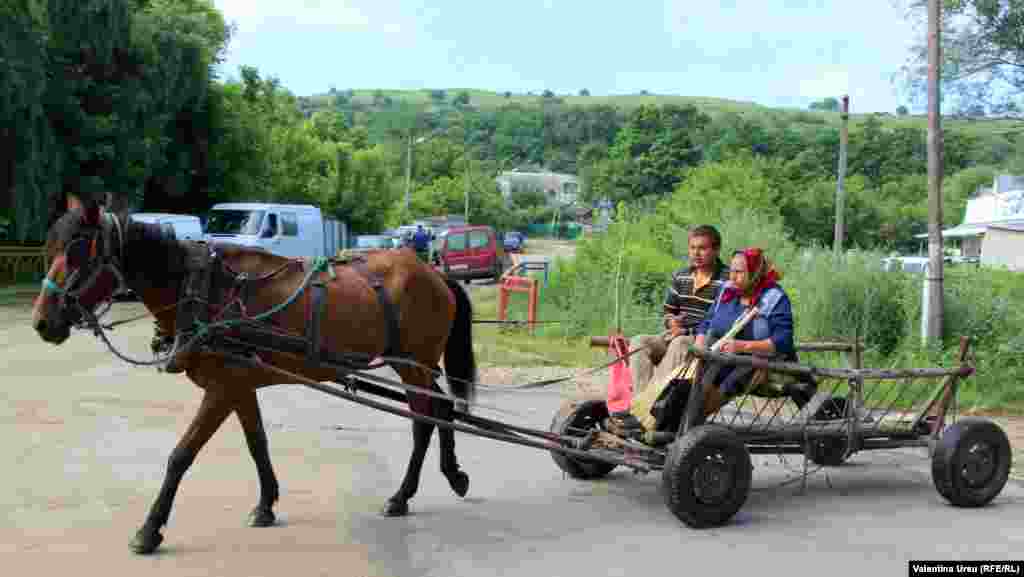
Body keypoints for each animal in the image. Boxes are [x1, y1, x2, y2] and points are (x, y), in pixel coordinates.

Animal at [32, 196, 477, 553]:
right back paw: (447, 476)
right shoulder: (240, 385)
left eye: (78, 253)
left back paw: (405, 494)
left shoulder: (222, 388)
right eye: (51, 248)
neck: (203, 289)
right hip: (415, 364)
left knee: (425, 417)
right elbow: (256, 442)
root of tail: (435, 273)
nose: (42, 323)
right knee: (438, 408)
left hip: (412, 362)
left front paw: (149, 529)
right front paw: (266, 504)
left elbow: (181, 455)